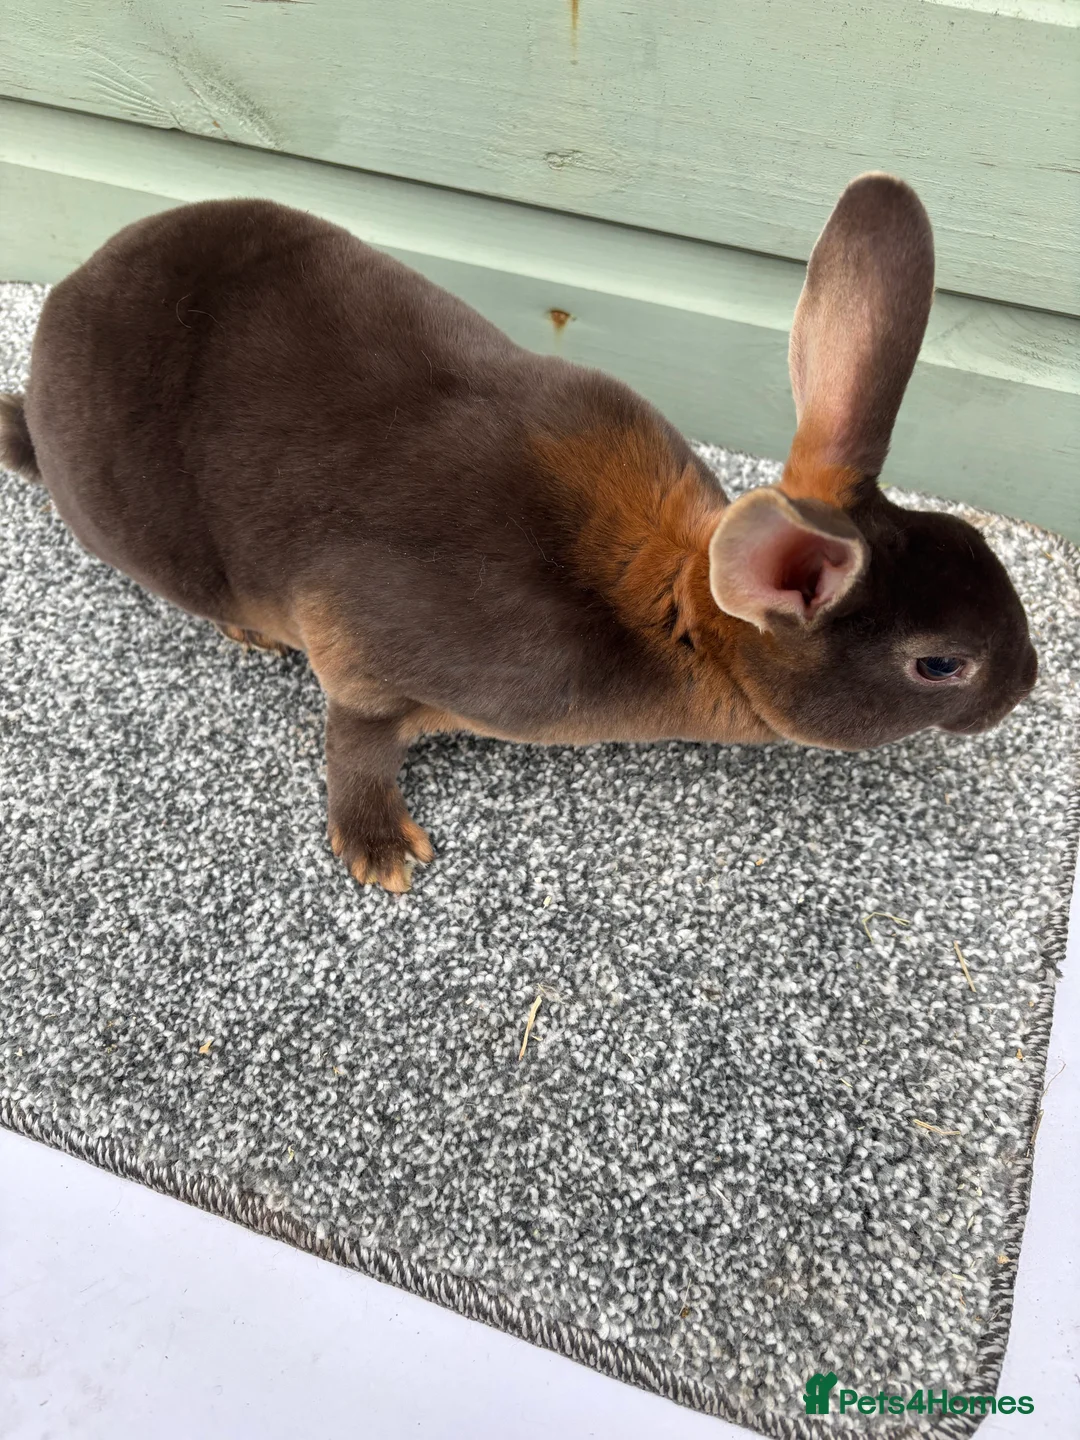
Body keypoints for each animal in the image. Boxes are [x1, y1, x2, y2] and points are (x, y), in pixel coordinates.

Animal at [0, 173, 1036, 893]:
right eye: (939, 665)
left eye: (979, 549)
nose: (1027, 683)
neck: (673, 605)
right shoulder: (369, 654)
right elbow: (353, 737)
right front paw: (380, 850)